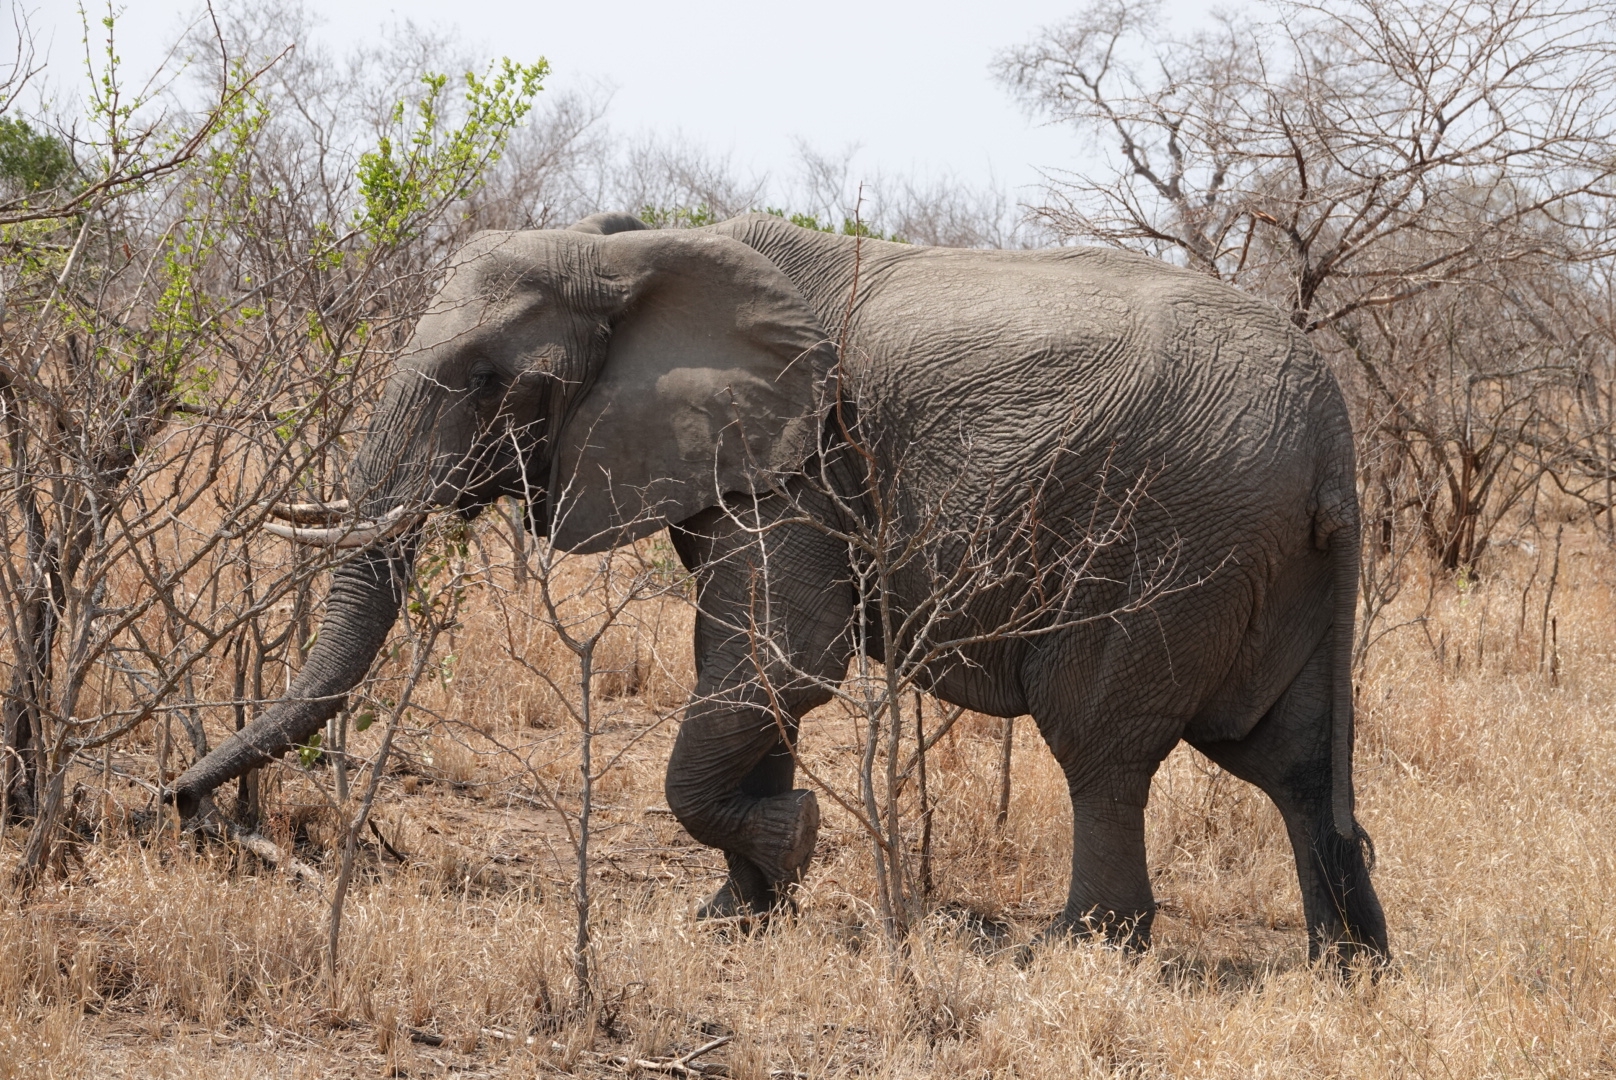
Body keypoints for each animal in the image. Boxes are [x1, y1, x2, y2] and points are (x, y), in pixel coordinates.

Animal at [173, 208, 1389, 963]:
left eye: (487, 381)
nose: (177, 811)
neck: (632, 249)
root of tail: (1336, 435)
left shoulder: (807, 461)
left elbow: (781, 662)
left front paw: (788, 844)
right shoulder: (745, 461)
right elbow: (747, 671)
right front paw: (734, 916)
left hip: (1171, 540)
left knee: (1099, 743)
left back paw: (1068, 951)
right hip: (1275, 556)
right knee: (1291, 763)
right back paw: (1348, 970)